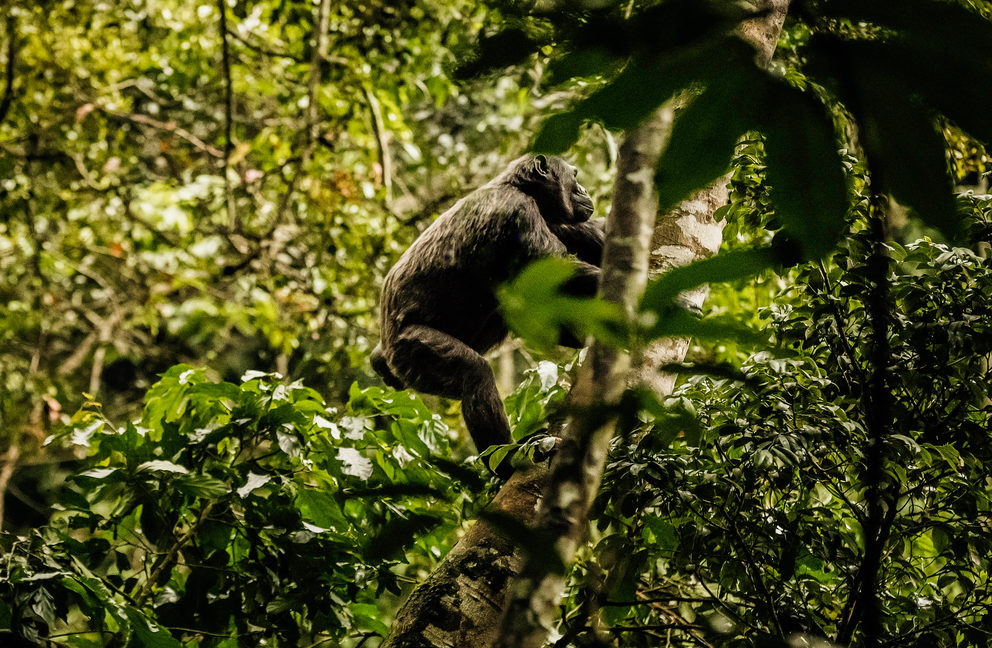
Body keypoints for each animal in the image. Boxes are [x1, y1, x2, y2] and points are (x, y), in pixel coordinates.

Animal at [372, 154, 604, 474]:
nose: (583, 188)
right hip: (410, 351)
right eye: (575, 175)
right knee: (474, 374)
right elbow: (559, 271)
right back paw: (507, 458)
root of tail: (385, 349)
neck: (525, 191)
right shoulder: (518, 212)